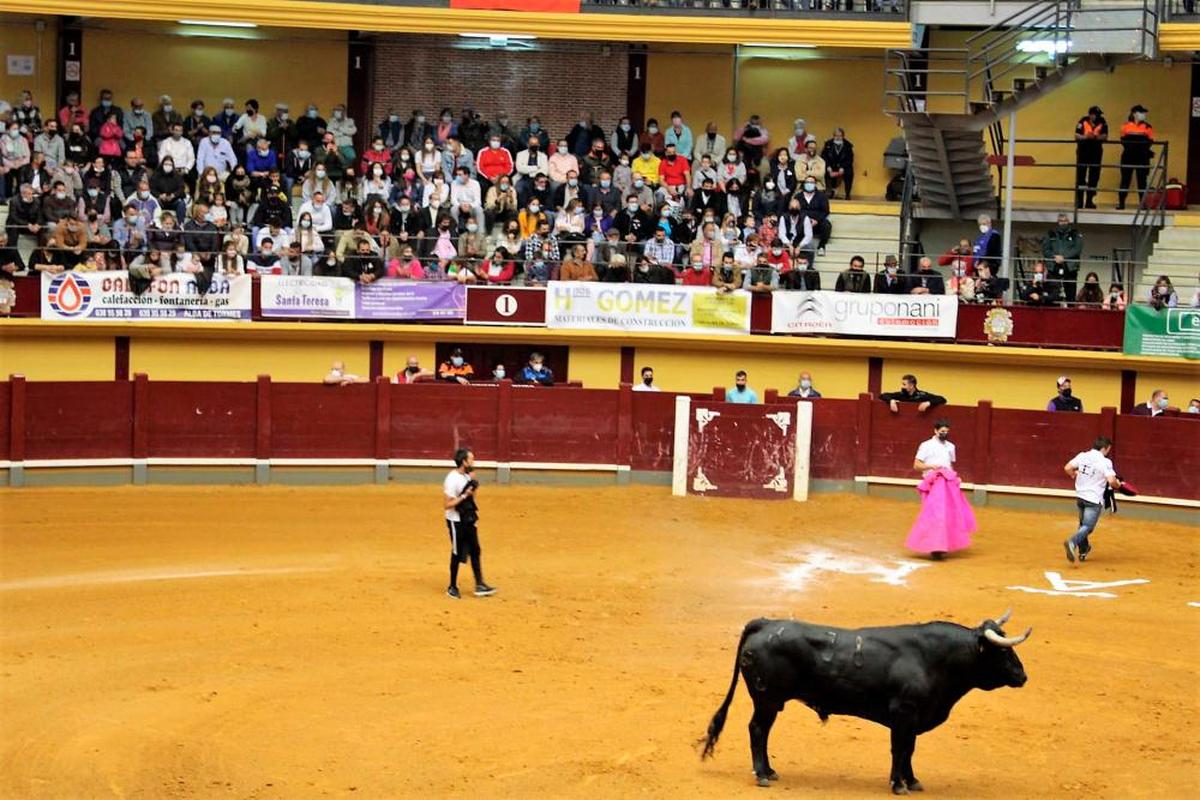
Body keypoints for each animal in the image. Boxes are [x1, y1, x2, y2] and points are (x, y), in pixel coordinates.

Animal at [700, 614, 1032, 796]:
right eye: (1003, 652)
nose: (1023, 676)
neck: (935, 658)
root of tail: (764, 623)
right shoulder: (904, 713)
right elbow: (901, 749)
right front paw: (898, 784)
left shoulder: (912, 719)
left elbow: (910, 750)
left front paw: (912, 781)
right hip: (767, 699)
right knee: (758, 730)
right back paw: (762, 774)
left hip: (770, 701)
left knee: (762, 732)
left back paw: (770, 771)